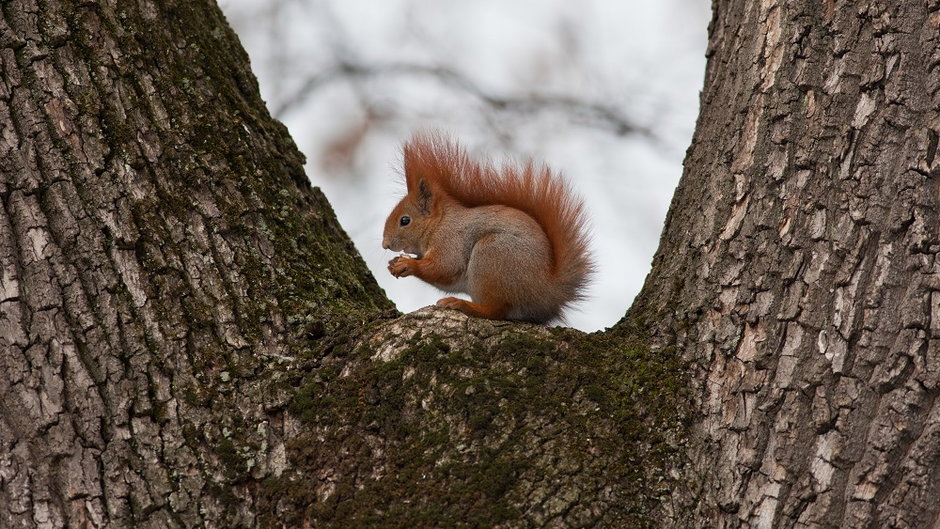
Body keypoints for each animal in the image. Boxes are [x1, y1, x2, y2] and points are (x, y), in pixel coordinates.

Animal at [384, 134, 596, 322]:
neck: (439, 223)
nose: (385, 244)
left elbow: (444, 267)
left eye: (405, 220)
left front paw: (408, 264)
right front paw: (395, 263)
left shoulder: (451, 239)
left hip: (492, 256)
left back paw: (462, 305)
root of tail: (547, 293)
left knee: (496, 310)